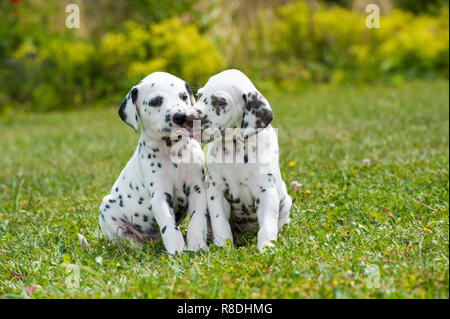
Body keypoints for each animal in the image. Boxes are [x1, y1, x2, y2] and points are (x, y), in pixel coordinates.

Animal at [98, 72, 207, 255]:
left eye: (183, 96)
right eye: (155, 101)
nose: (180, 116)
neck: (171, 150)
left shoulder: (197, 189)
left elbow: (197, 220)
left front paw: (197, 245)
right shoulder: (160, 196)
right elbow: (169, 226)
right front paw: (177, 250)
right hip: (107, 209)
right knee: (127, 239)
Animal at [185, 69, 294, 252]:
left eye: (220, 101)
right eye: (199, 95)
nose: (188, 118)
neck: (236, 149)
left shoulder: (266, 192)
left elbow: (267, 227)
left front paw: (267, 248)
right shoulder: (216, 191)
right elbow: (220, 223)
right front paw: (223, 246)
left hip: (285, 201)